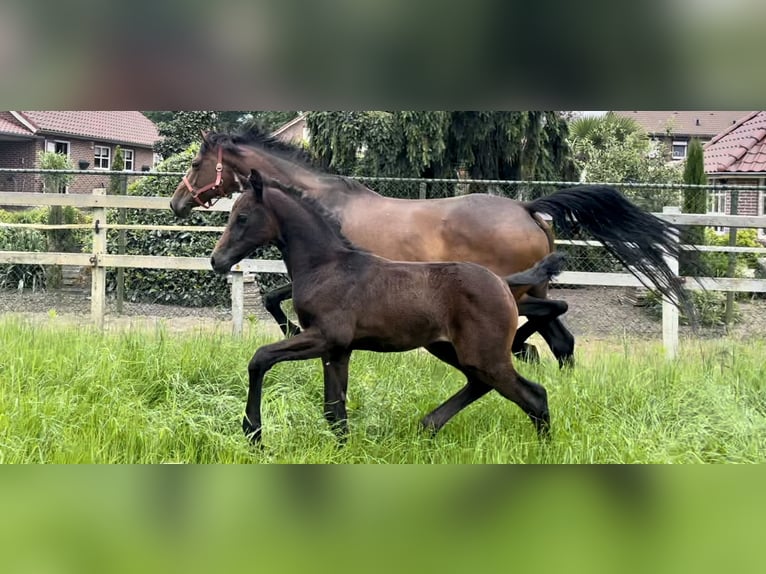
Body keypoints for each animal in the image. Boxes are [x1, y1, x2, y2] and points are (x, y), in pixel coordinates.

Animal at [172, 128, 688, 366]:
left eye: (196, 163)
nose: (177, 202)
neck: (323, 203)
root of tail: (526, 208)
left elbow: (271, 298)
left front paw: (291, 330)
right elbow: (272, 297)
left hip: (513, 290)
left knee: (544, 331)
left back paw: (521, 353)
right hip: (534, 287)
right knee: (561, 338)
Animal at [212, 169, 568, 444]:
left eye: (242, 217)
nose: (217, 260)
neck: (327, 266)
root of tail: (503, 283)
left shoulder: (325, 337)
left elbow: (260, 358)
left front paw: (252, 431)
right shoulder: (338, 350)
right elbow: (334, 411)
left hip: (485, 356)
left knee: (534, 395)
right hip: (451, 349)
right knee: (485, 385)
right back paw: (428, 426)